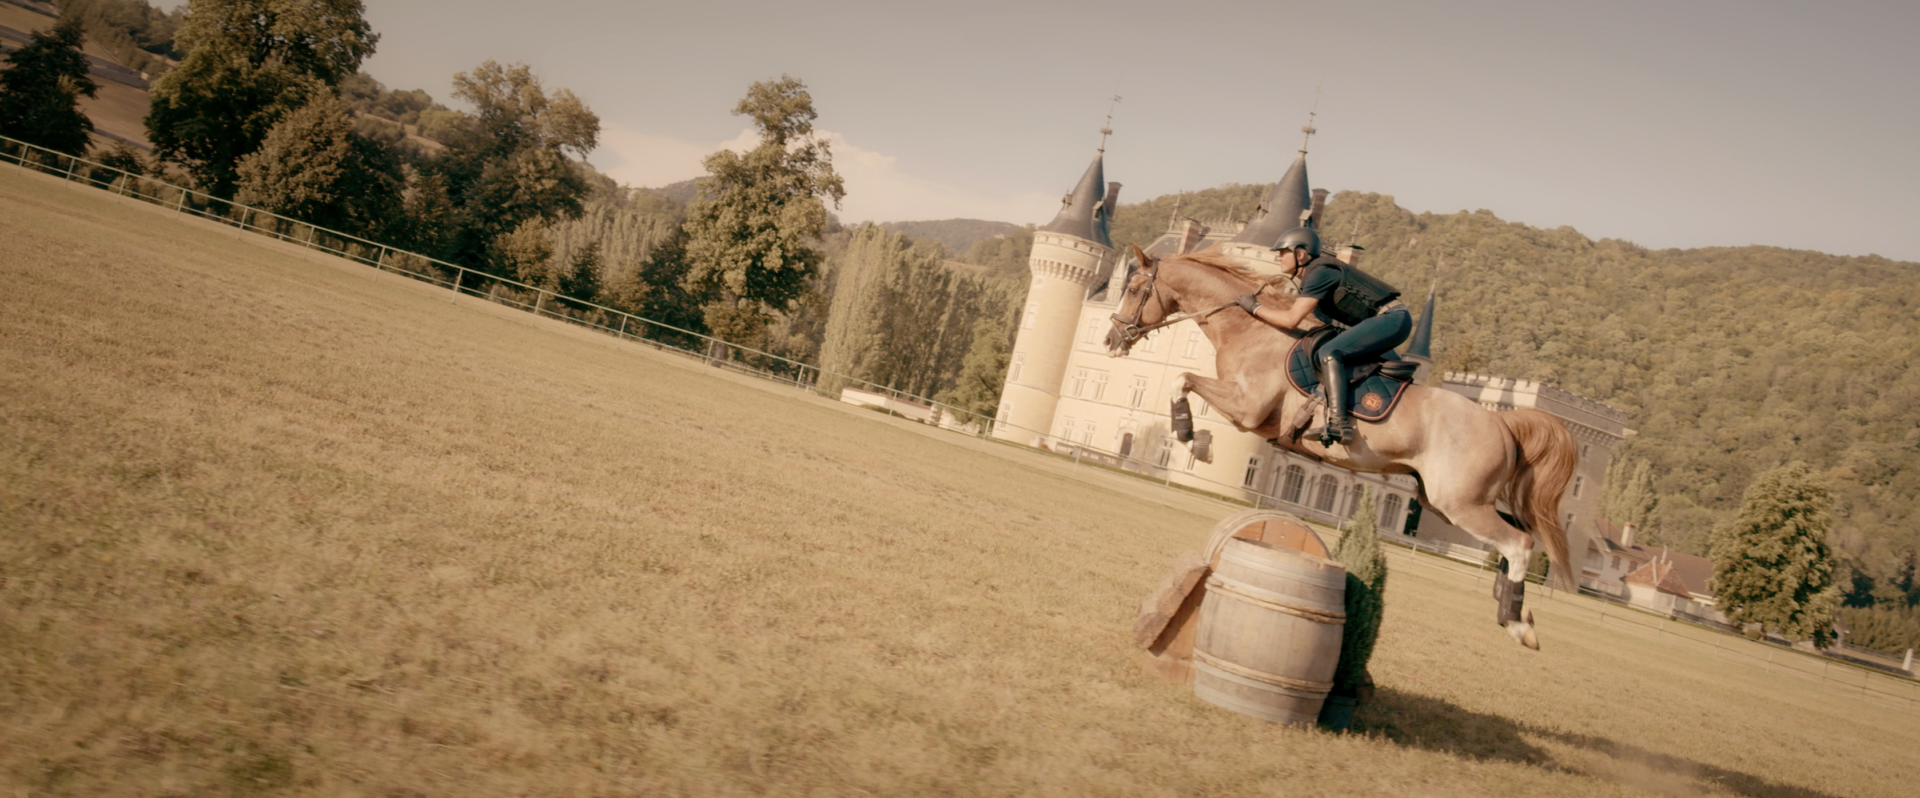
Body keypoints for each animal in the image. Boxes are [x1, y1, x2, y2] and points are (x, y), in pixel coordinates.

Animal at [1113, 245, 1574, 652]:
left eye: (1134, 289)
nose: (1112, 338)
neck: (1252, 331)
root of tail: (1501, 421)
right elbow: (1184, 382)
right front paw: (1192, 438)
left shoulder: (1248, 408)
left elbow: (1183, 380)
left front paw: (1192, 438)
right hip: (1446, 501)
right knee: (1515, 538)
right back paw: (1518, 613)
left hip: (1460, 504)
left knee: (1519, 544)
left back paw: (1517, 624)